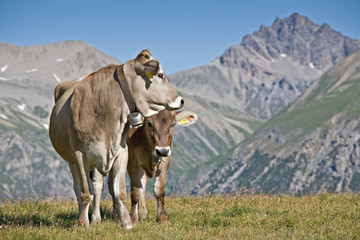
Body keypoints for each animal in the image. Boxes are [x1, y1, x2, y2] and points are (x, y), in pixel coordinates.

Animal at [49, 49, 184, 229]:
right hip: (71, 160)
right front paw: (83, 223)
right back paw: (84, 217)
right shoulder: (79, 154)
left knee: (100, 185)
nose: (181, 100)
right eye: (161, 75)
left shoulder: (121, 152)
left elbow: (119, 191)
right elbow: (85, 192)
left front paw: (127, 222)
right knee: (79, 188)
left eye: (173, 124)